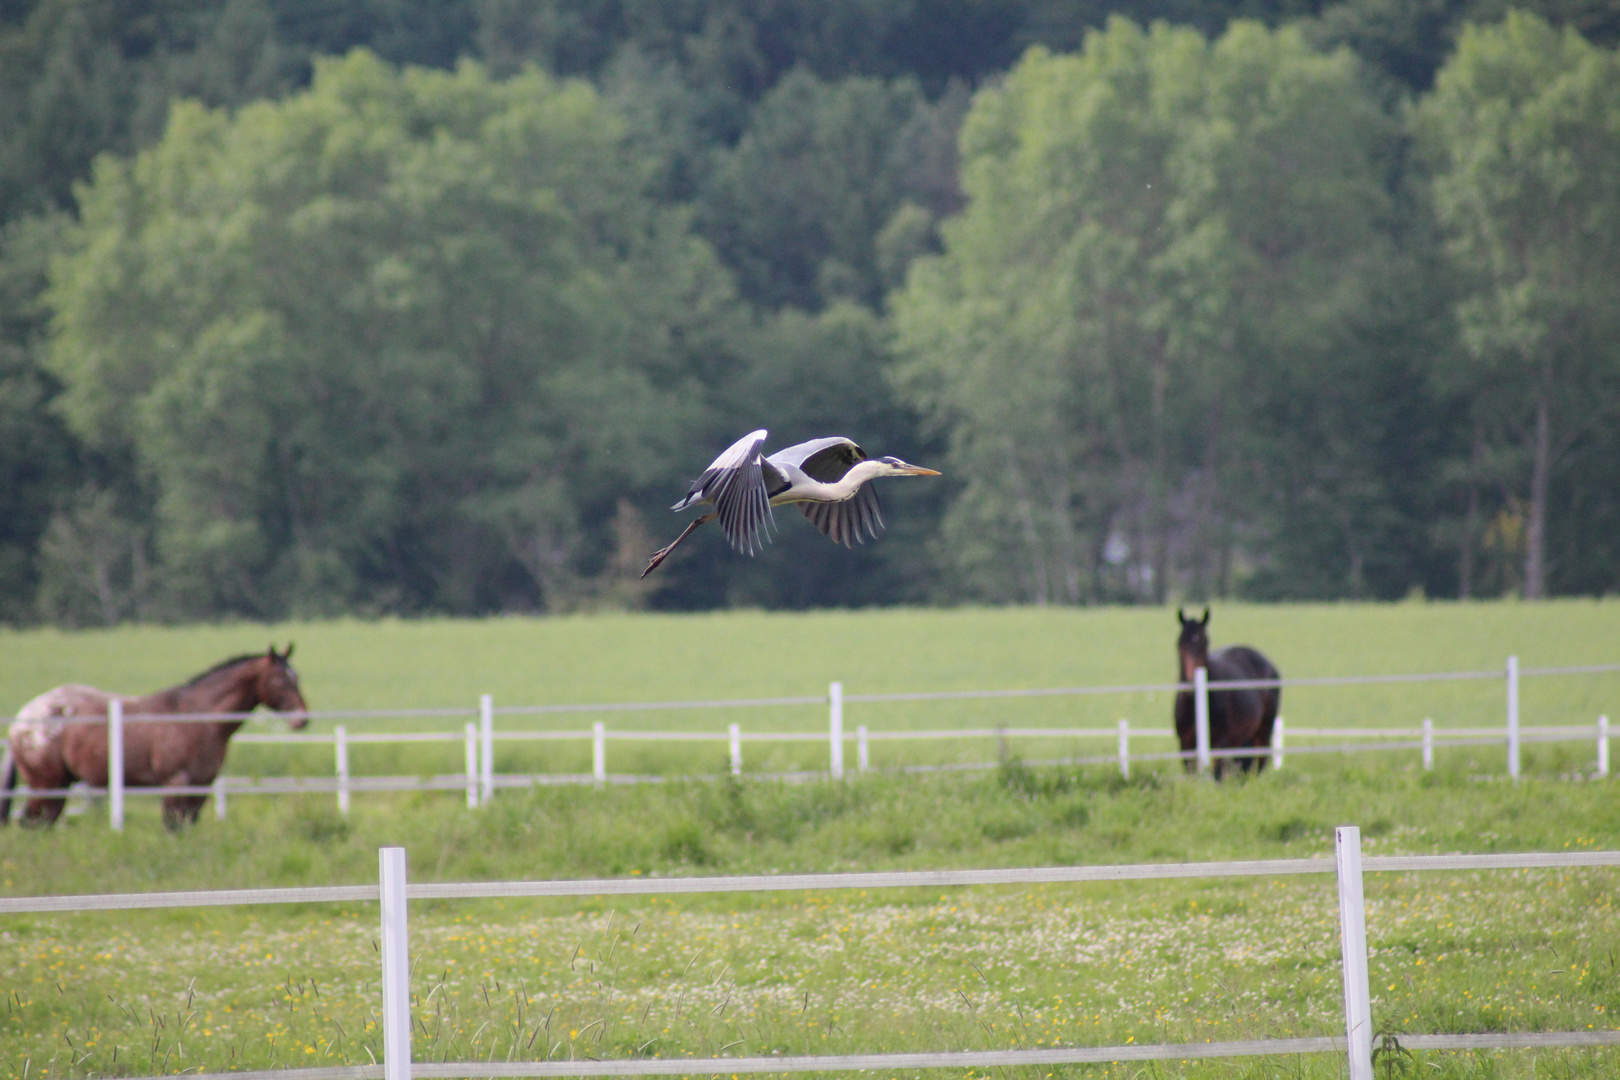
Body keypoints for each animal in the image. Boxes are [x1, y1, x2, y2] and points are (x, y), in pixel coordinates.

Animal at [0, 647, 306, 835]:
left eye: (297, 678)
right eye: (280, 680)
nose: (302, 719)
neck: (196, 717)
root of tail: (22, 719)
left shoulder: (201, 786)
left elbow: (187, 826)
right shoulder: (175, 783)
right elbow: (172, 826)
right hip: (48, 785)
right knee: (33, 823)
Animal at [1179, 608, 1276, 777]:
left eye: (1205, 643)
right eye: (1179, 644)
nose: (1190, 683)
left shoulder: (1220, 742)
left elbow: (1217, 775)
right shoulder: (1186, 745)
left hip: (1263, 732)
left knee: (1259, 763)